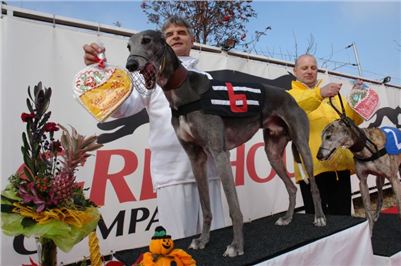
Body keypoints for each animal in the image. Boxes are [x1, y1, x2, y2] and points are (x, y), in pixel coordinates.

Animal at [125, 30, 324, 256]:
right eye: (128, 46)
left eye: (147, 40)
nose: (130, 64)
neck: (183, 92)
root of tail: (290, 97)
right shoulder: (196, 158)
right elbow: (205, 207)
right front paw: (203, 240)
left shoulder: (219, 153)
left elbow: (234, 208)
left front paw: (236, 246)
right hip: (272, 152)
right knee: (291, 188)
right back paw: (288, 218)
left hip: (302, 146)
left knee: (314, 185)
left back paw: (319, 217)